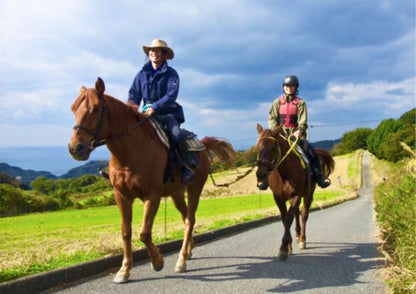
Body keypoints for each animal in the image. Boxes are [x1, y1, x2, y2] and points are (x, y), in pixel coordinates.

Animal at [69, 77, 236, 282]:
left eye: (95, 109)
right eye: (74, 110)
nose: (75, 148)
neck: (130, 154)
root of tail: (202, 145)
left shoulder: (152, 196)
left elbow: (144, 233)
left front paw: (157, 260)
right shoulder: (121, 196)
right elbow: (126, 232)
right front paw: (124, 269)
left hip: (194, 189)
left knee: (190, 220)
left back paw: (181, 260)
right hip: (176, 193)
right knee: (185, 217)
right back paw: (188, 251)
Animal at [254, 123, 334, 260]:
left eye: (273, 148)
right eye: (257, 147)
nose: (261, 174)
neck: (284, 173)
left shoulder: (296, 195)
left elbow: (289, 218)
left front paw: (284, 248)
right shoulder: (278, 197)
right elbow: (284, 218)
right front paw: (289, 245)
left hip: (308, 194)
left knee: (304, 214)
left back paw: (302, 239)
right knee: (297, 212)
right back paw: (297, 235)